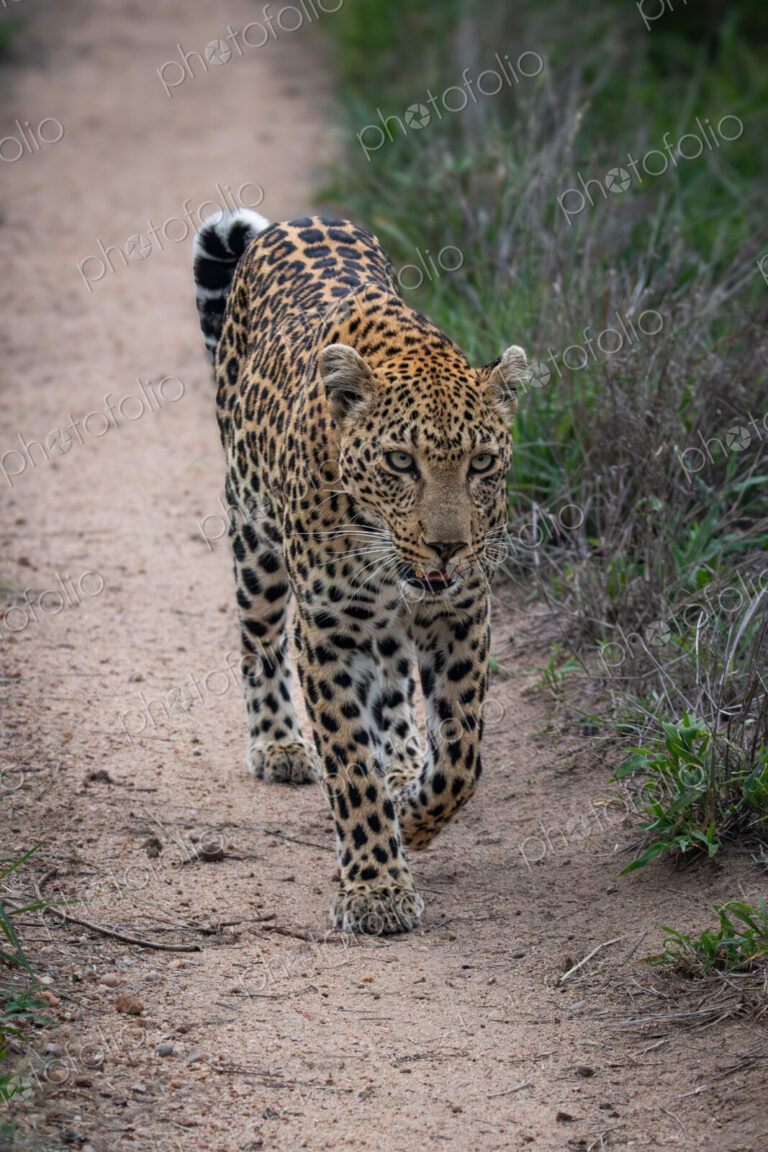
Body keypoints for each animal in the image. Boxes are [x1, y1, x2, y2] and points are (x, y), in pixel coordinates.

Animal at [193, 210, 526, 935]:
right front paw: (376, 887)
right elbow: (348, 763)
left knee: (395, 676)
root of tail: (291, 220)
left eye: (482, 463)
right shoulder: (329, 629)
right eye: (401, 462)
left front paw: (417, 815)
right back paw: (280, 745)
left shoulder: (461, 611)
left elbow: (462, 755)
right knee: (258, 641)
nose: (447, 547)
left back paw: (401, 758)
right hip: (254, 542)